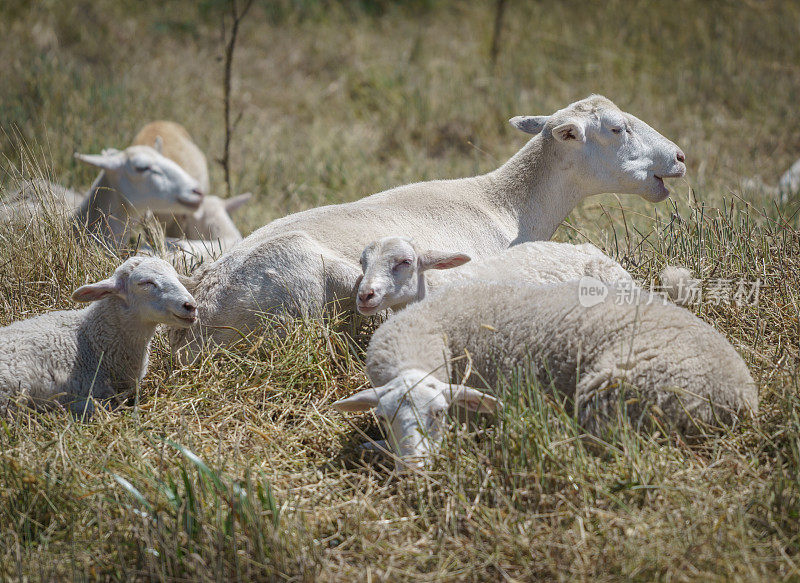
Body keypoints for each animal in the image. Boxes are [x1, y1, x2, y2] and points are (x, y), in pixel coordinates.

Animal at [334, 280, 760, 472]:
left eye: (439, 412)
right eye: (383, 418)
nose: (414, 469)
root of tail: (740, 399)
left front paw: (371, 449)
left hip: (617, 392)